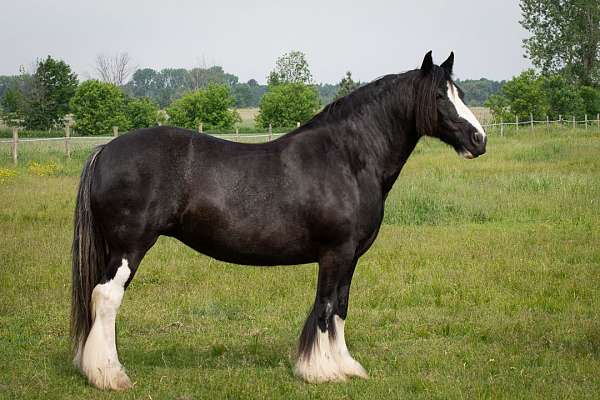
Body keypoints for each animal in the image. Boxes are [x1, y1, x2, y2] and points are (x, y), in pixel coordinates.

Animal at [70, 51, 488, 390]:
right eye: (440, 96)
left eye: (462, 93)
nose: (479, 139)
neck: (348, 158)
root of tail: (105, 150)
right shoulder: (334, 254)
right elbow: (325, 307)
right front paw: (321, 371)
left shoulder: (351, 256)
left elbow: (341, 306)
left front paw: (346, 366)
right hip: (130, 247)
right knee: (106, 297)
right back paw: (110, 375)